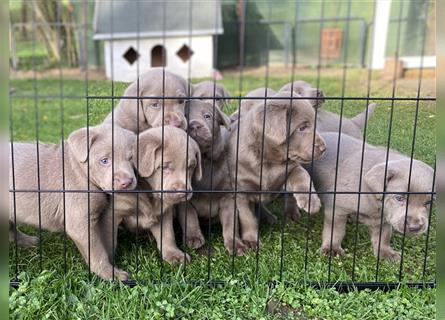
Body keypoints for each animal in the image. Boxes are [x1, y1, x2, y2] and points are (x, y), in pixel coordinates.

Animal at [9, 124, 136, 278]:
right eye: (104, 160)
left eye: (132, 159)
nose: (126, 182)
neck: (81, 171)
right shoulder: (80, 221)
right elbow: (97, 250)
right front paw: (110, 273)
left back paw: (28, 241)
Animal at [224, 90, 324, 250]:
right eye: (302, 128)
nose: (323, 148)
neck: (269, 162)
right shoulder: (241, 192)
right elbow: (248, 218)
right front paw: (251, 241)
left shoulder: (290, 169)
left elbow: (303, 176)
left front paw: (311, 201)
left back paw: (288, 213)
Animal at [308, 132, 434, 260]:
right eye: (399, 198)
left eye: (429, 203)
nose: (415, 227)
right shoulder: (337, 207)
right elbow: (335, 230)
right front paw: (332, 249)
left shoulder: (384, 218)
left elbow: (383, 236)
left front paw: (386, 252)